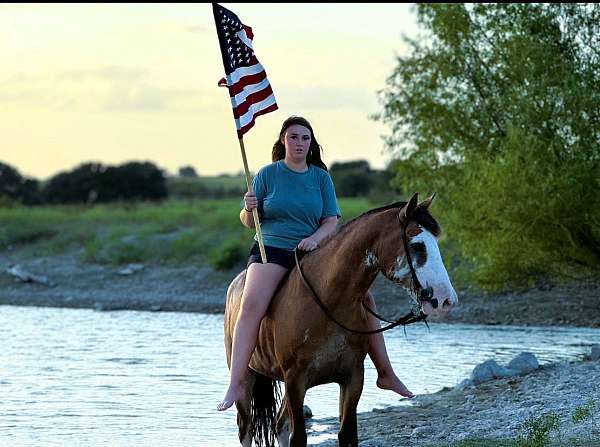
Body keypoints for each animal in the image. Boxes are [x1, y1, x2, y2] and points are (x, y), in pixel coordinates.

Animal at [223, 193, 458, 447]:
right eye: (417, 245)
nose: (447, 300)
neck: (327, 300)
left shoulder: (352, 377)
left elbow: (347, 434)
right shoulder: (295, 380)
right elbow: (300, 437)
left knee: (280, 424)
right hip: (247, 381)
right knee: (246, 430)